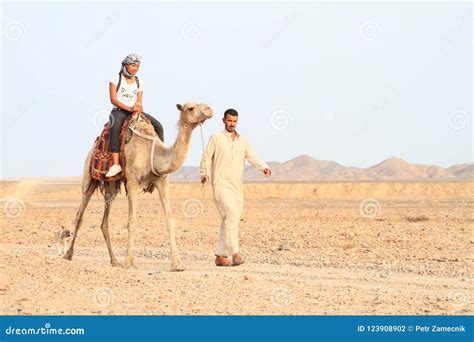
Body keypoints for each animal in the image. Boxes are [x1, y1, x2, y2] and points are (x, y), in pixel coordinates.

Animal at [64, 103, 214, 272]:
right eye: (190, 108)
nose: (209, 109)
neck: (153, 154)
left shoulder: (162, 181)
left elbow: (170, 220)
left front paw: (177, 264)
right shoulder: (132, 182)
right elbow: (132, 221)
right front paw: (129, 262)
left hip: (111, 187)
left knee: (104, 223)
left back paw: (114, 261)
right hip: (89, 178)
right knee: (80, 215)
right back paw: (68, 255)